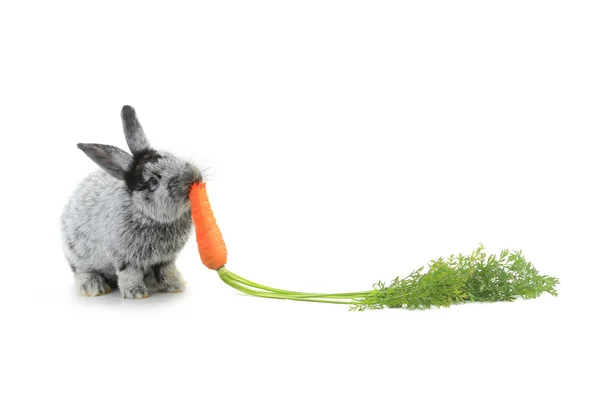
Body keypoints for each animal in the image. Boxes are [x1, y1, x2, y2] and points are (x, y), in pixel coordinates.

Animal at [59, 106, 203, 298]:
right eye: (153, 181)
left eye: (171, 157)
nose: (193, 178)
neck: (146, 214)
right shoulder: (125, 256)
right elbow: (130, 273)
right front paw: (136, 294)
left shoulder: (166, 258)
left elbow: (167, 271)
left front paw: (176, 286)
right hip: (79, 255)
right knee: (82, 271)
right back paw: (94, 287)